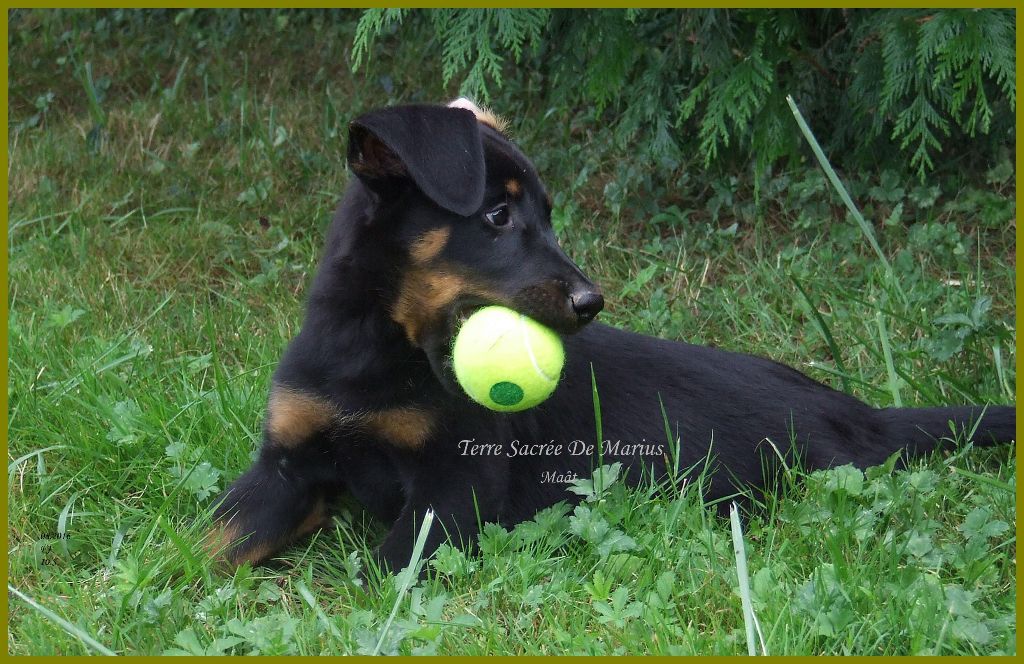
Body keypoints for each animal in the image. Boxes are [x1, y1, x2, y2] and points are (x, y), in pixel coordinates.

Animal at [209, 98, 1015, 573]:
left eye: (547, 213)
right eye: (497, 216)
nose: (592, 302)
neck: (375, 350)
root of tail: (865, 417)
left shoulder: (459, 483)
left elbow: (385, 567)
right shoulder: (284, 466)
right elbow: (211, 539)